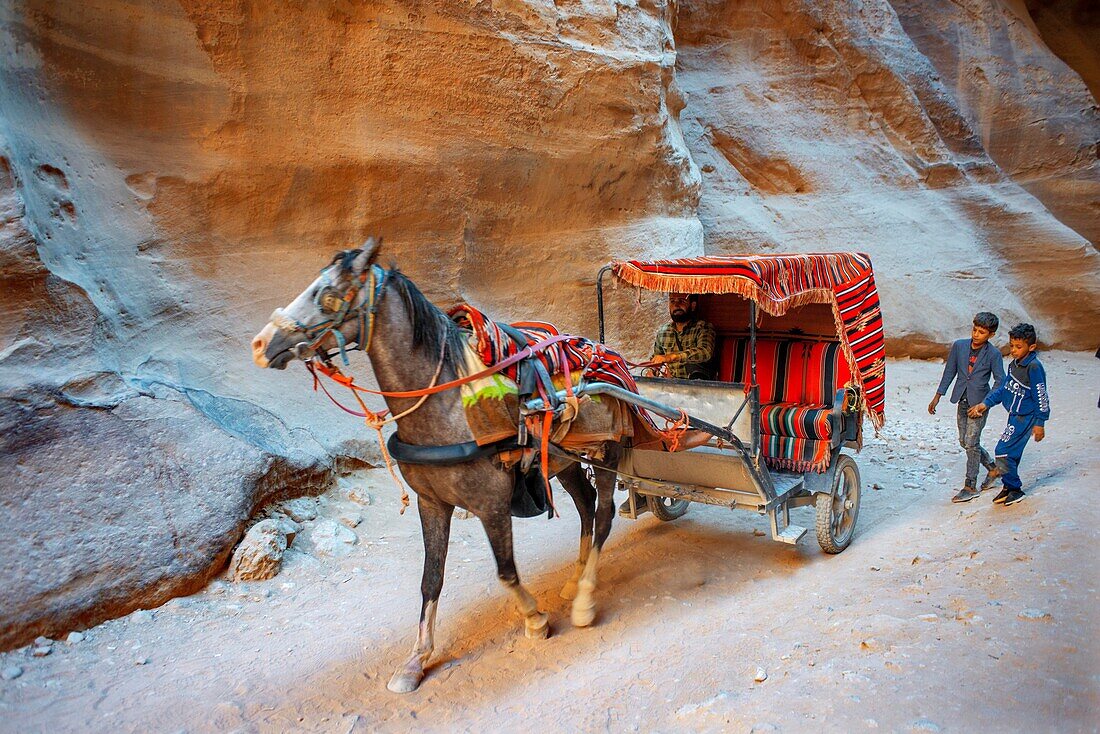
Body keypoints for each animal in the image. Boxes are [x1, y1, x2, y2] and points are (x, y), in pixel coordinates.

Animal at [251, 240, 629, 695]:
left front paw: (535, 620)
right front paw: (417, 659)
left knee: (604, 513)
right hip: (564, 462)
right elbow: (431, 578)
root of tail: (605, 351)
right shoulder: (430, 502)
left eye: (329, 296)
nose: (260, 343)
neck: (448, 408)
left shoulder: (492, 505)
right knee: (587, 507)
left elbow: (506, 572)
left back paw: (585, 598)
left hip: (607, 453)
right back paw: (574, 582)